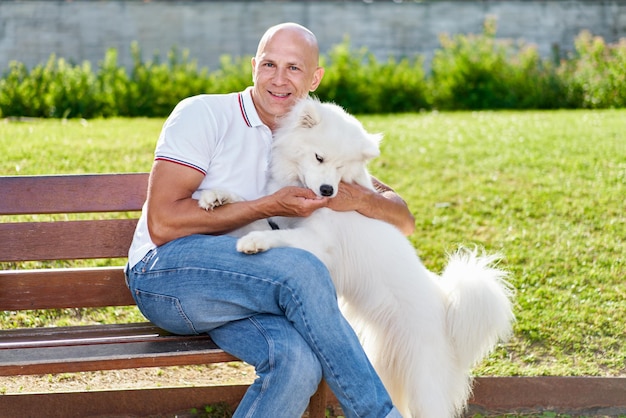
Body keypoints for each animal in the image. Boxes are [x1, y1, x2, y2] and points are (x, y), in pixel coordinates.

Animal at [197, 99, 516, 418]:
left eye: (340, 166)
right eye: (319, 157)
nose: (327, 190)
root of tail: (447, 306)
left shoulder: (318, 243)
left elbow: (274, 236)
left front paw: (253, 242)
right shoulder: (281, 218)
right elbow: (250, 208)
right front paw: (216, 197)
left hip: (423, 382)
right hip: (387, 366)